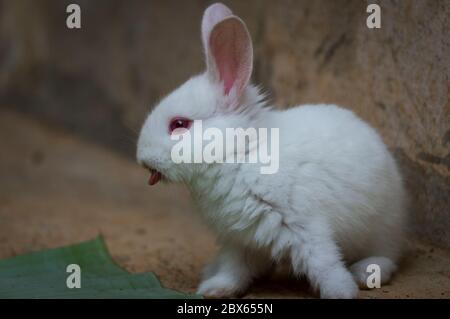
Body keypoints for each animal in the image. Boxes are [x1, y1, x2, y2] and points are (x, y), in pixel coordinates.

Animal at [137, 2, 408, 298]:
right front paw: (215, 289)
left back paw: (365, 272)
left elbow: (324, 264)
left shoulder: (305, 226)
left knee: (388, 256)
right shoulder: (237, 238)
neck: (241, 154)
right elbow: (234, 269)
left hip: (382, 230)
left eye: (179, 124)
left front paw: (341, 292)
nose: (141, 157)